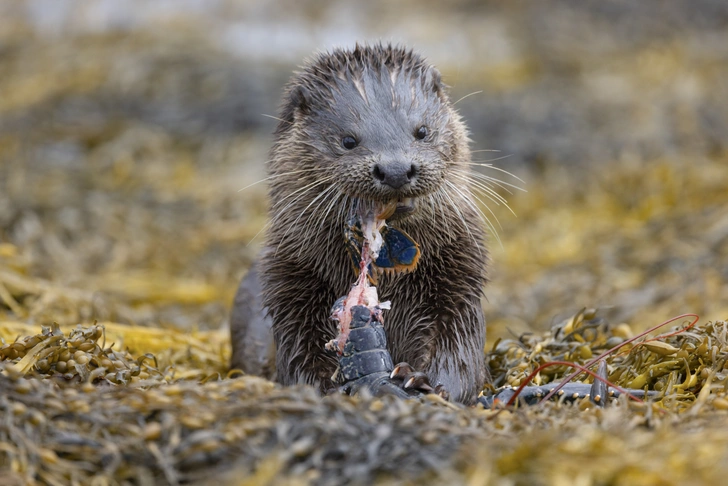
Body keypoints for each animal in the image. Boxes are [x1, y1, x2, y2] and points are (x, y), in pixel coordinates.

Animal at [230, 43, 486, 404]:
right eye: (348, 141)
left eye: (422, 132)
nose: (395, 169)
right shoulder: (288, 284)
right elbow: (300, 358)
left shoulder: (458, 276)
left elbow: (458, 350)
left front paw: (426, 380)